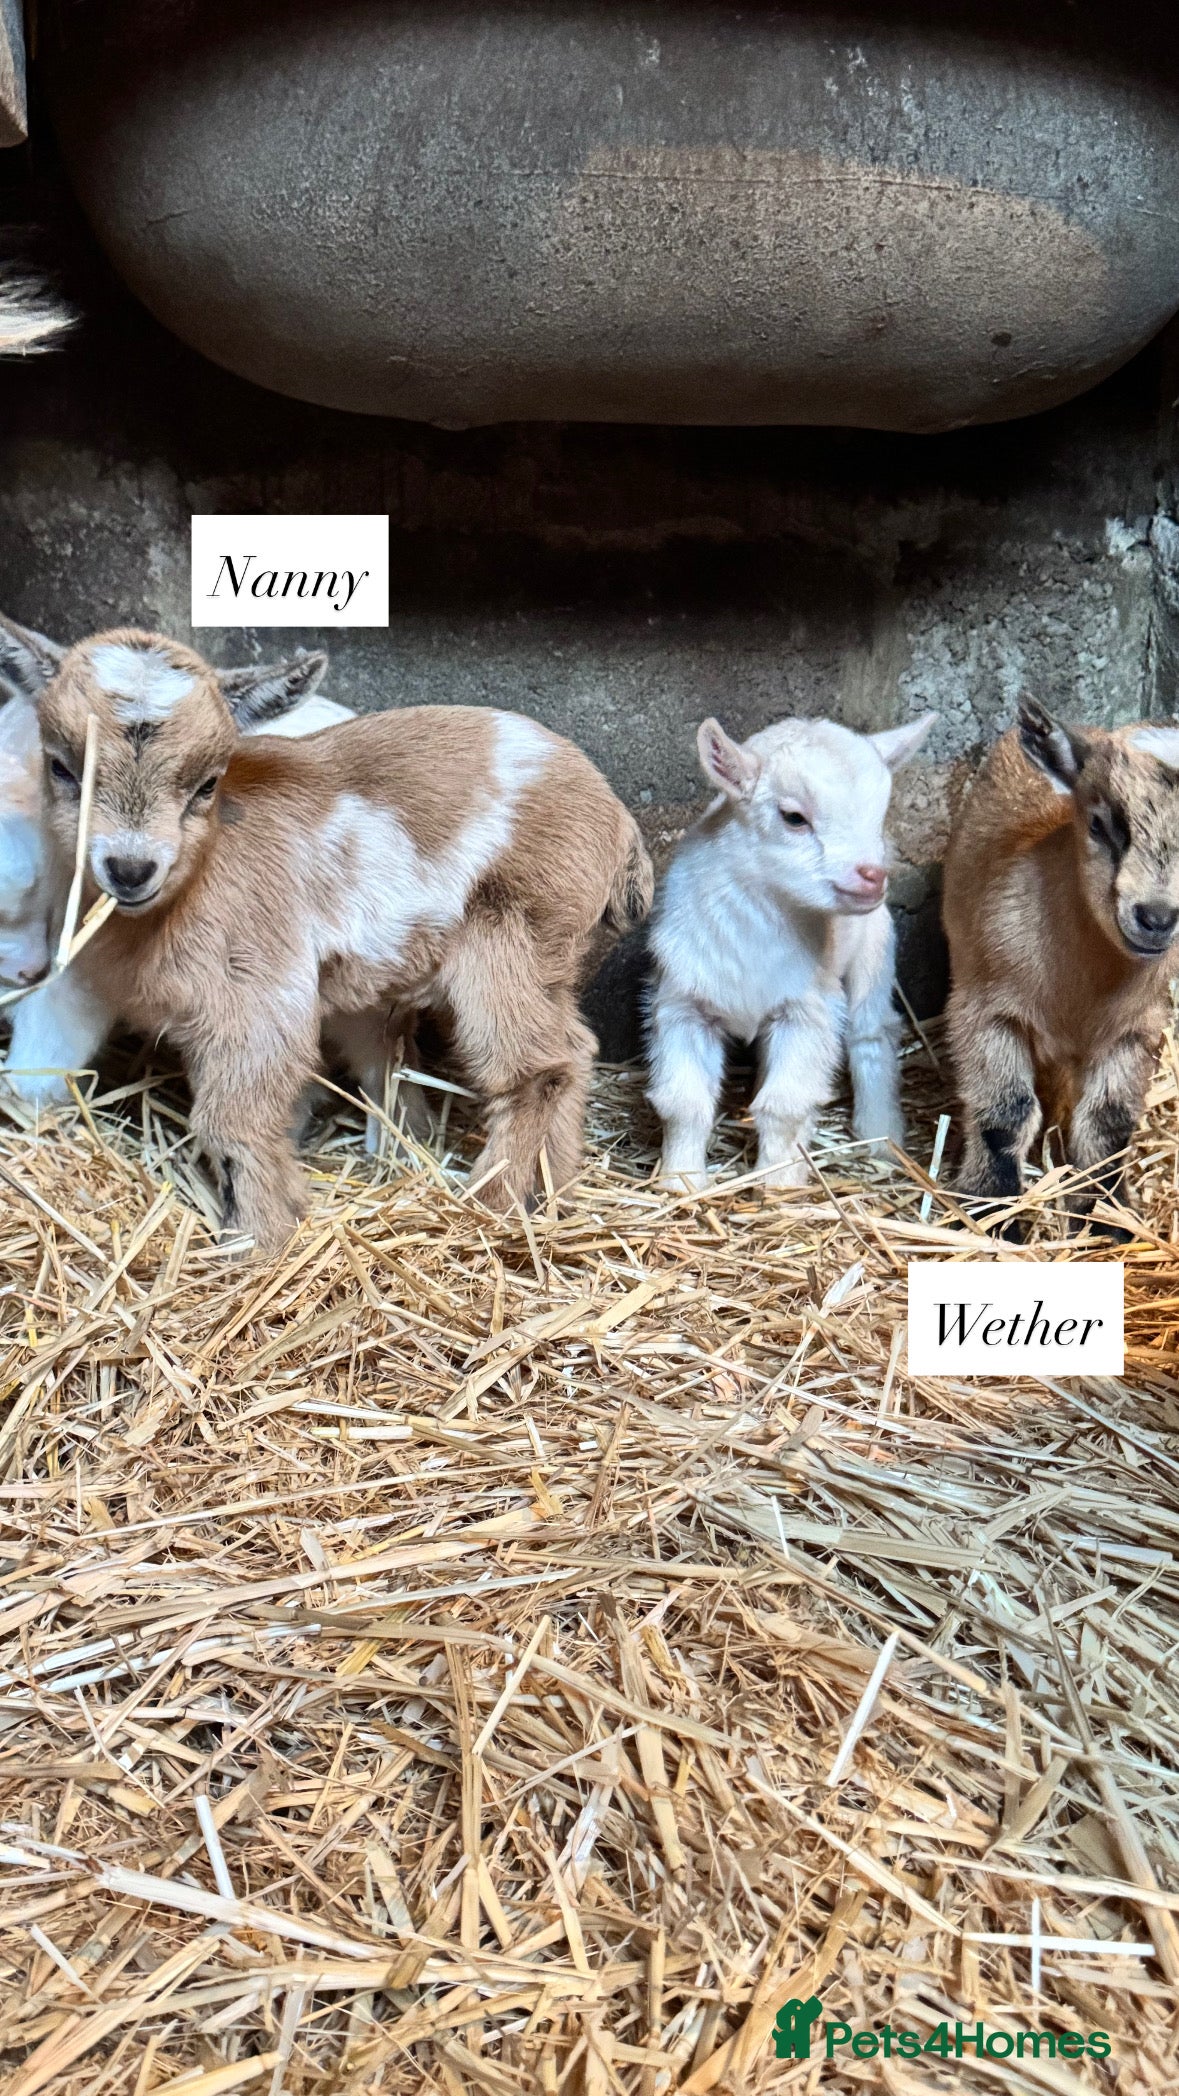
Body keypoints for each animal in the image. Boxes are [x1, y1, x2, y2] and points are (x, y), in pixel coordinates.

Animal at [647, 710, 937, 1188]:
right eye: (794, 817)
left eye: (880, 816)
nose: (873, 876)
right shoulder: (683, 1004)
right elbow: (684, 1103)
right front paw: (680, 1181)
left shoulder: (809, 1008)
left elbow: (783, 1105)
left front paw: (778, 1184)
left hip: (874, 945)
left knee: (870, 1032)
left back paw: (880, 1136)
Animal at [943, 700, 1179, 1226]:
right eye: (1098, 824)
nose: (1157, 918)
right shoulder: (985, 1011)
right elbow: (1004, 1115)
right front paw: (991, 1210)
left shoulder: (1137, 1029)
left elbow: (1108, 1122)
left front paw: (1107, 1215)